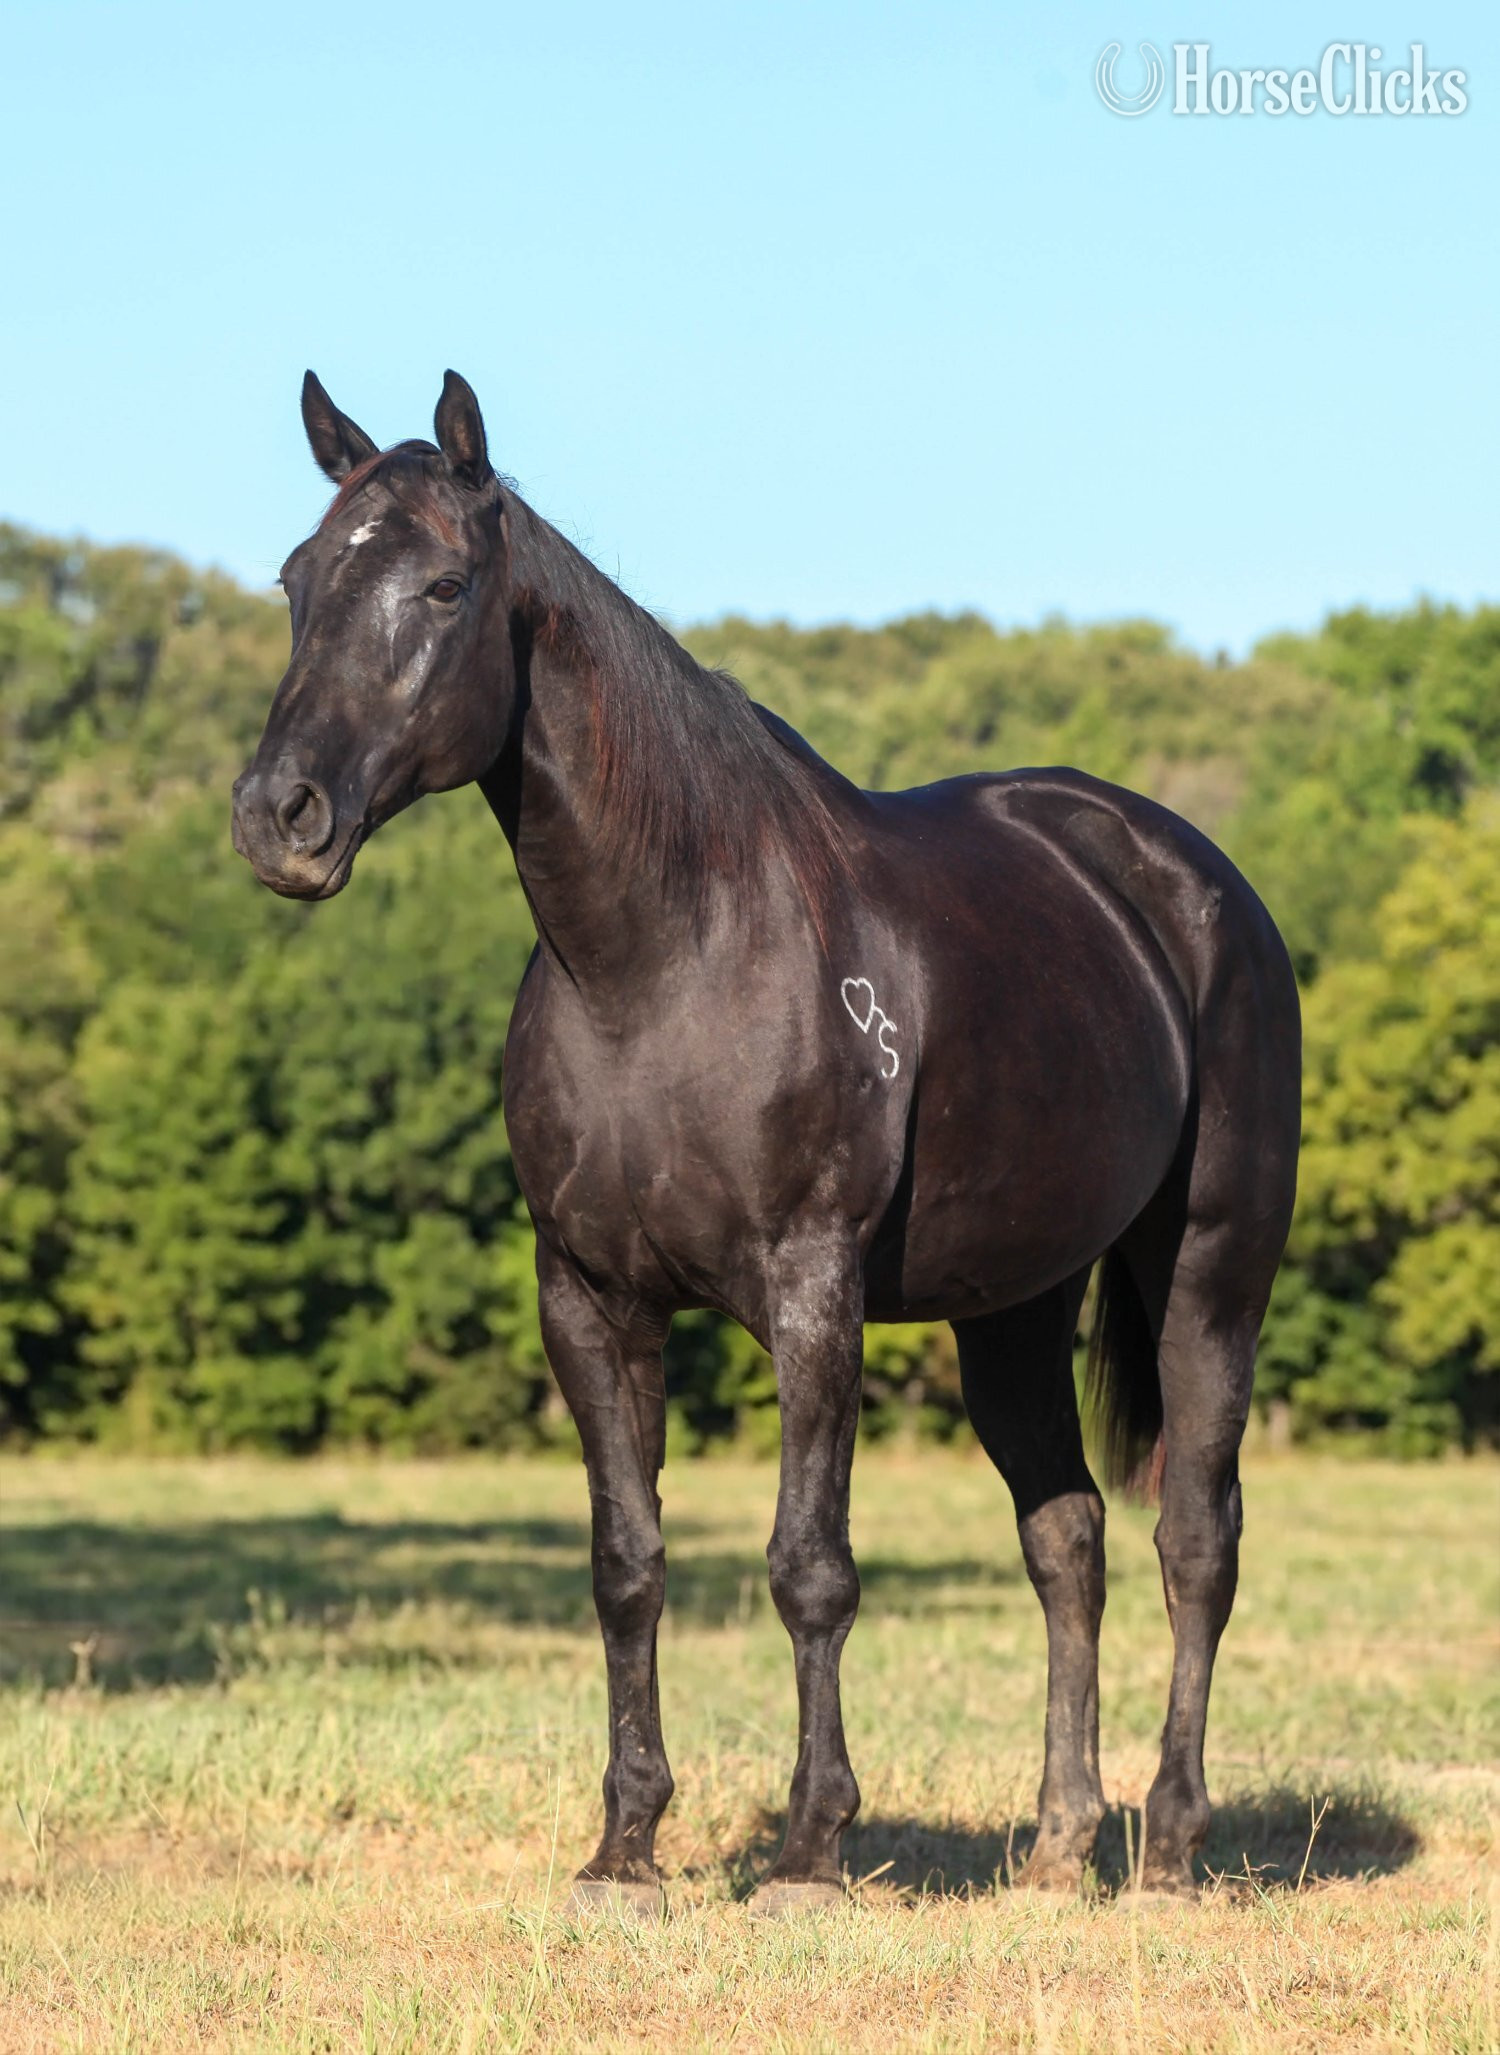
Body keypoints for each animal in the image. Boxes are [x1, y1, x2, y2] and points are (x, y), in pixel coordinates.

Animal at [232, 371, 1301, 1916]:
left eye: (441, 585)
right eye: (297, 581)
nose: (280, 817)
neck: (665, 959)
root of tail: (1190, 878)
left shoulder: (811, 1291)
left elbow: (812, 1565)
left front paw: (809, 1847)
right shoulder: (589, 1299)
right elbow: (626, 1561)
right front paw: (624, 1851)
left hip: (1212, 1273)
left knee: (1195, 1540)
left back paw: (1167, 1840)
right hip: (1013, 1307)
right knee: (1068, 1541)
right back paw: (1057, 1844)